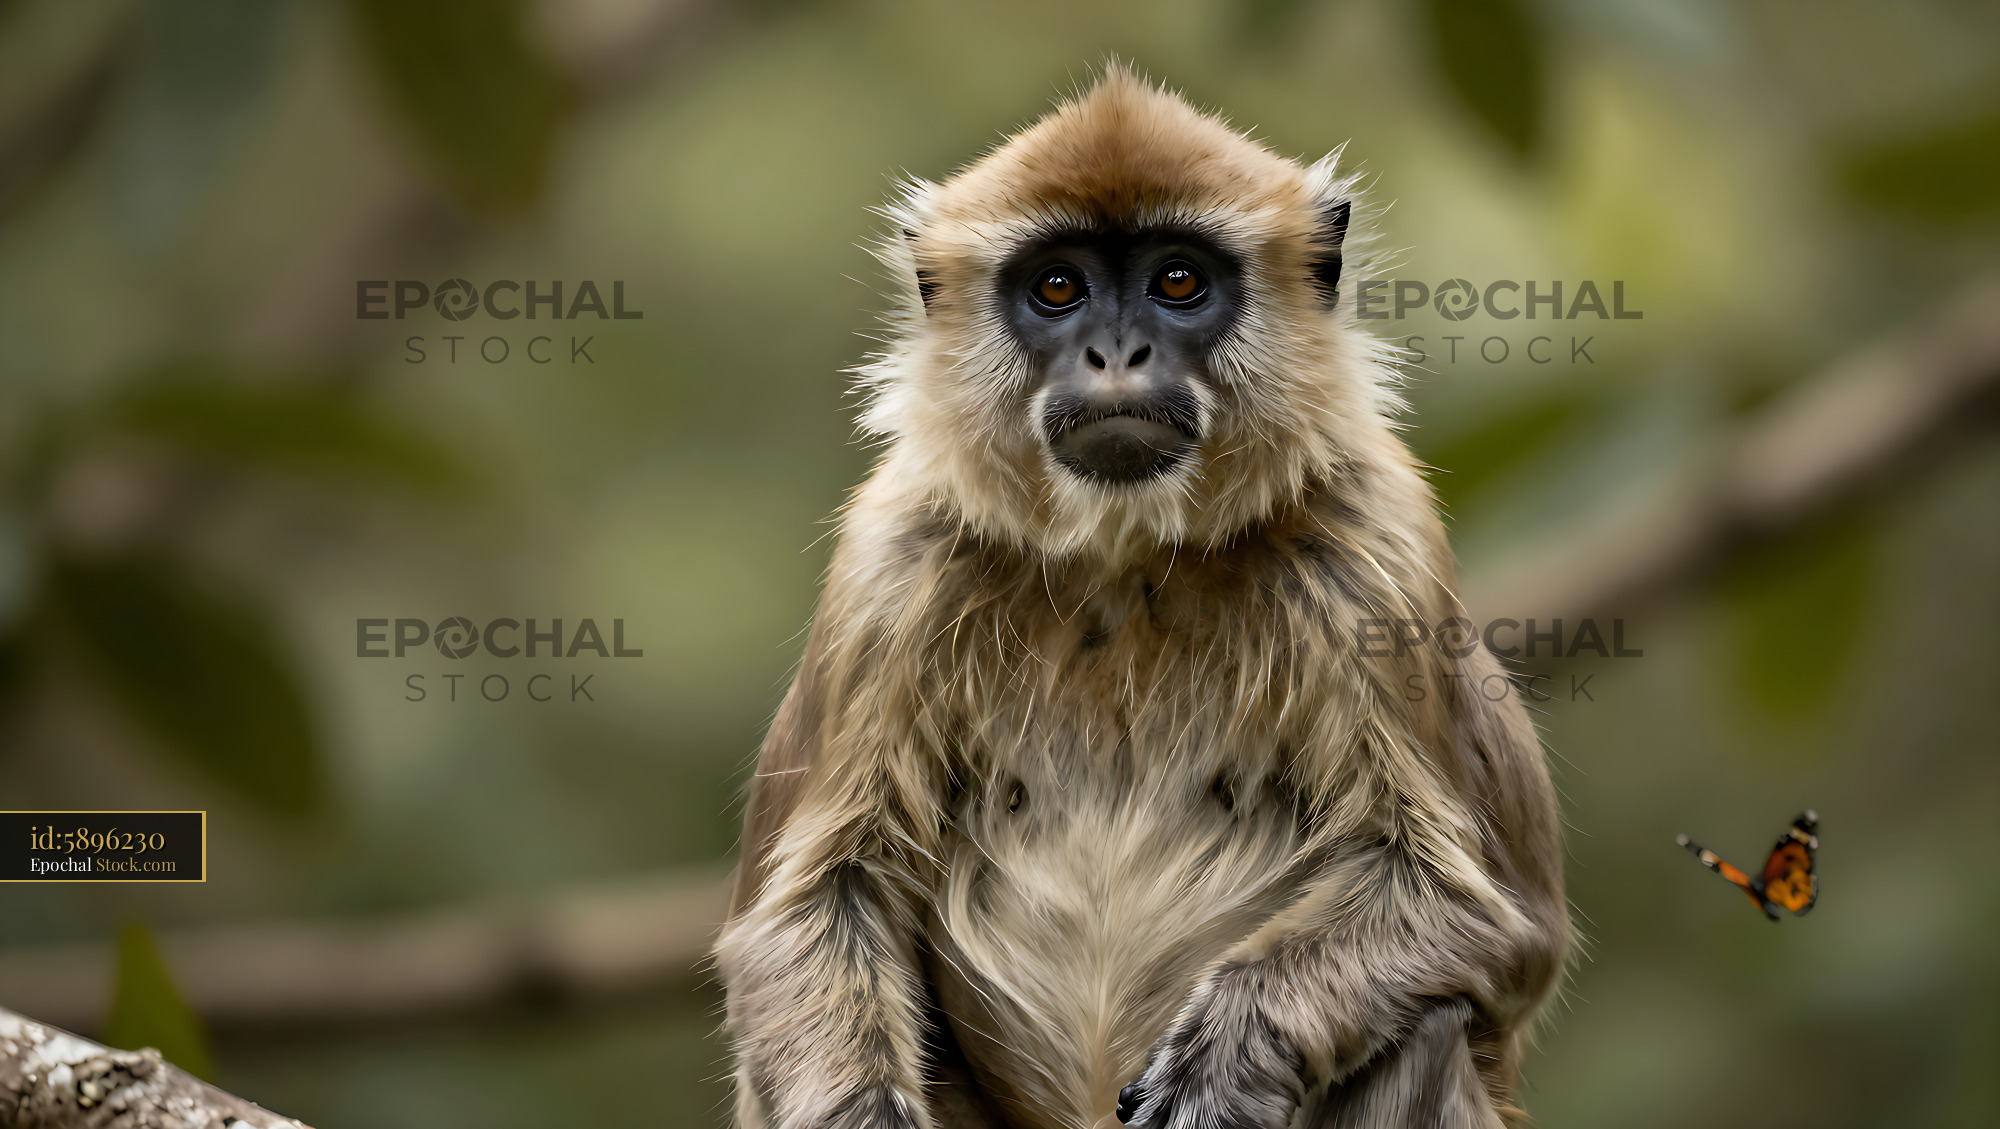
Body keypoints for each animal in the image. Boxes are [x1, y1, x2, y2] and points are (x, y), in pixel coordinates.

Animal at [715, 66, 1568, 1129]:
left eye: (1177, 282)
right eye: (1057, 287)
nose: (1116, 353)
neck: (1126, 562)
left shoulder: (1374, 540)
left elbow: (1482, 916)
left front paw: (1228, 1052)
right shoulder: (891, 562)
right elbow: (808, 914)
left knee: (1432, 1022)